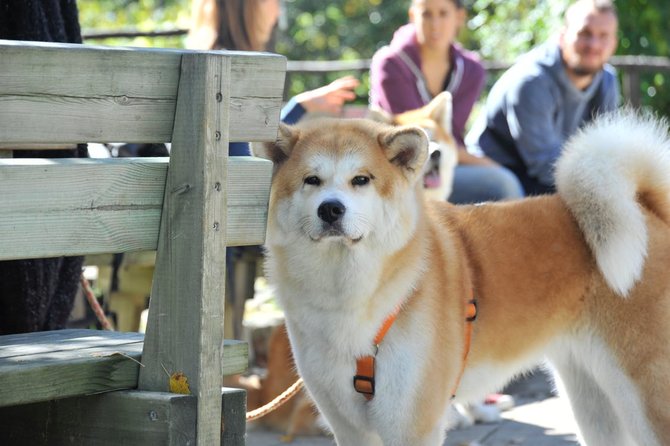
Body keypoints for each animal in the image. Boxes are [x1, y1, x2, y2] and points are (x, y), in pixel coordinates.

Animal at [251, 110, 670, 446]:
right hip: (591, 395)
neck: (348, 299)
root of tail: (650, 214)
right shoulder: (349, 425)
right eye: (311, 180)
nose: (330, 209)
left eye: (361, 180)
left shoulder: (411, 425)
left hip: (645, 395)